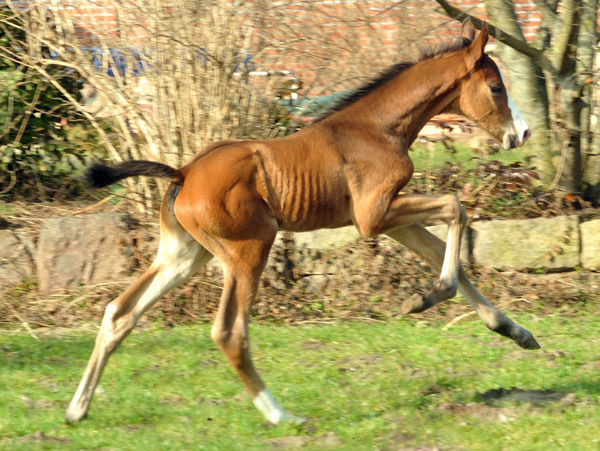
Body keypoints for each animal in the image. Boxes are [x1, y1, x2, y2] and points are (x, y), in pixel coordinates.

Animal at [65, 20, 540, 424]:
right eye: (496, 87)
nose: (523, 133)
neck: (376, 127)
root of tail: (183, 173)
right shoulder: (373, 216)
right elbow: (455, 208)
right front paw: (423, 299)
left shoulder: (389, 215)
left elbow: (441, 249)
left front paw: (515, 332)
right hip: (249, 248)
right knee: (229, 331)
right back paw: (281, 416)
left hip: (184, 255)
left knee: (119, 313)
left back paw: (76, 410)